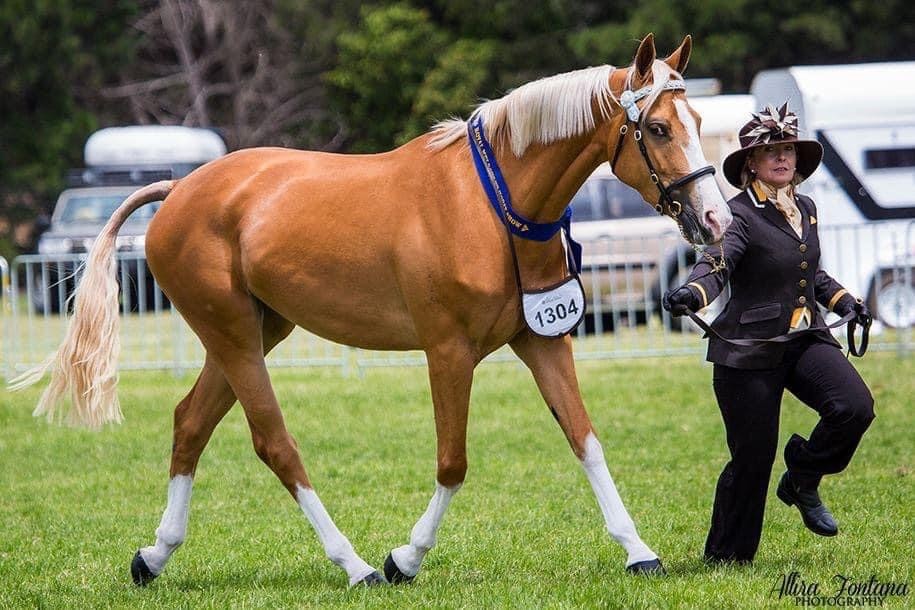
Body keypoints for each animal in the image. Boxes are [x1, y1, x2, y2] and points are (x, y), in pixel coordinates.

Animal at [17, 33, 731, 586]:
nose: (715, 220)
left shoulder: (542, 340)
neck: (492, 203)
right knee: (275, 443)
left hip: (253, 333)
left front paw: (638, 551)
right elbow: (453, 462)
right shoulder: (448, 353)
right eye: (659, 128)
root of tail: (179, 188)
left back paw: (155, 556)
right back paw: (354, 564)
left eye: (698, 125)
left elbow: (586, 440)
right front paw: (405, 558)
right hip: (234, 338)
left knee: (190, 423)